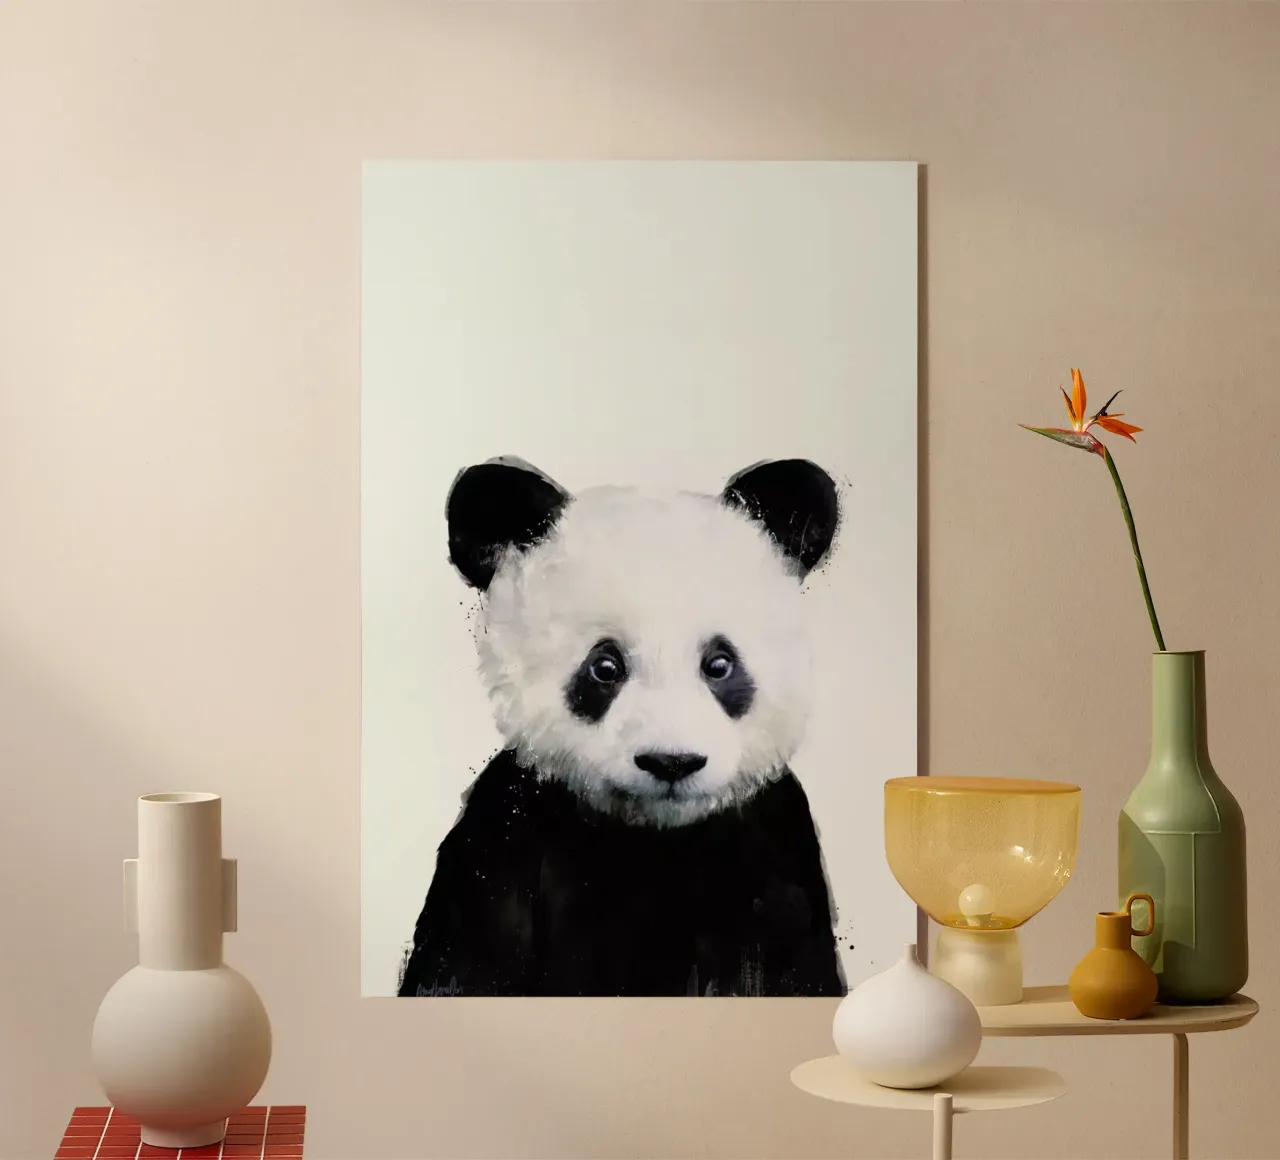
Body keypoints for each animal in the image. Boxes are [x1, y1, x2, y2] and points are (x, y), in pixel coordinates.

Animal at [397, 456, 847, 998]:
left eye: (719, 664)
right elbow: (462, 970)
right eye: (605, 667)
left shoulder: (774, 851)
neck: (652, 839)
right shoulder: (503, 841)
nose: (671, 762)